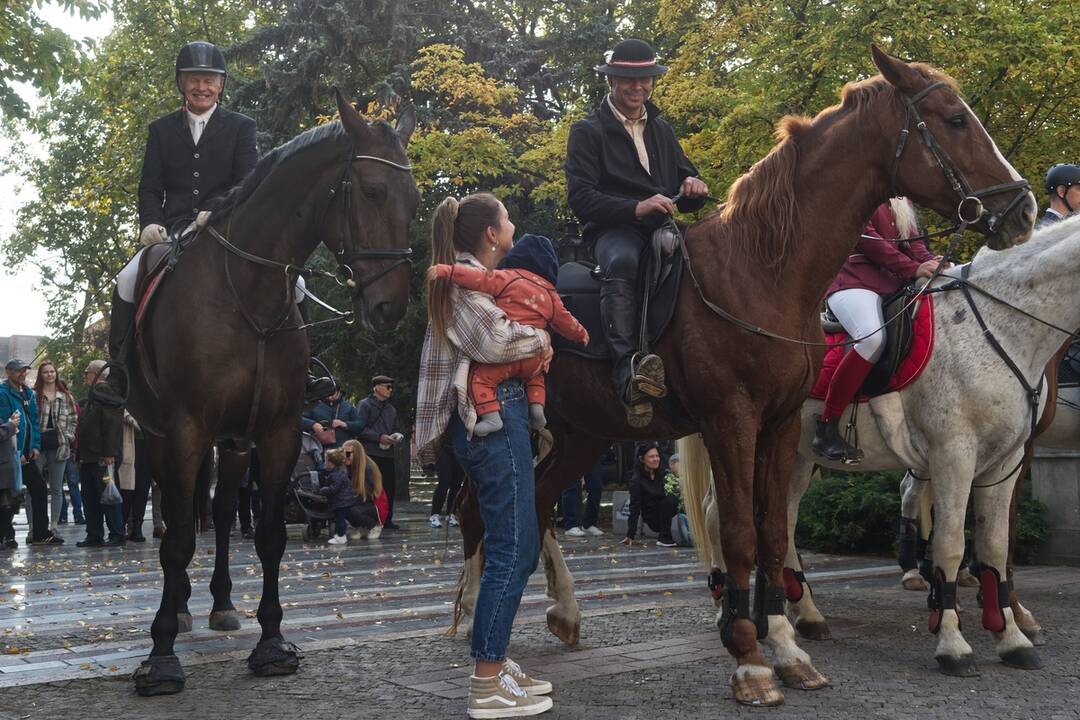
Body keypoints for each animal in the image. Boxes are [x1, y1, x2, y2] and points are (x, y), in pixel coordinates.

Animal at [121, 92, 416, 695]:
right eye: (373, 192)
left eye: (416, 200)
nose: (390, 307)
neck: (246, 291)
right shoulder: (187, 430)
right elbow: (178, 539)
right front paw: (161, 655)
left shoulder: (277, 432)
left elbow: (272, 535)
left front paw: (273, 642)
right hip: (163, 438)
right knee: (178, 516)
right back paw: (181, 608)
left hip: (235, 443)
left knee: (222, 509)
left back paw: (221, 604)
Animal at [455, 47, 1036, 708]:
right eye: (954, 119)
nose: (1022, 209)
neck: (763, 273)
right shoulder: (732, 420)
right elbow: (738, 534)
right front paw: (749, 658)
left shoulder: (780, 428)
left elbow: (773, 533)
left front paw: (785, 647)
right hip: (508, 432)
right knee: (479, 511)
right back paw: (475, 616)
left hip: (585, 434)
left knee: (540, 504)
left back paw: (562, 612)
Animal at [686, 215, 1080, 677]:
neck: (998, 325)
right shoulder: (954, 455)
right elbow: (951, 545)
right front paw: (953, 644)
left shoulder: (1006, 463)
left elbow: (996, 547)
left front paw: (1012, 638)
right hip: (739, 440)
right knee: (718, 515)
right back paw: (730, 615)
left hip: (795, 455)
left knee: (783, 519)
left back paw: (805, 614)